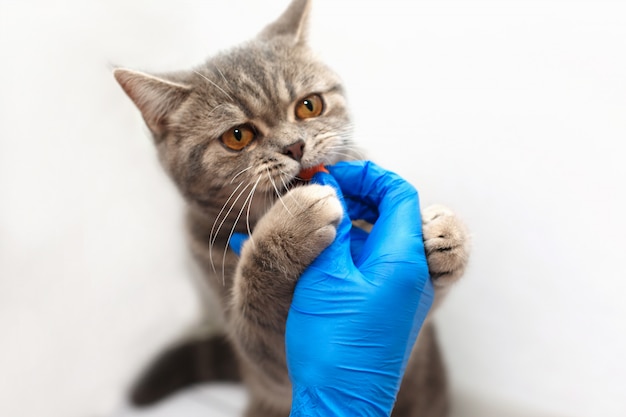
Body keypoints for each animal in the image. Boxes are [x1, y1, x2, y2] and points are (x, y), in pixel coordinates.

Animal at [114, 0, 468, 416]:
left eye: (309, 106)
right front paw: (291, 225)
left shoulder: (419, 334)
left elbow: (423, 302)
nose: (295, 146)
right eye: (238, 136)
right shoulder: (269, 365)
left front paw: (443, 233)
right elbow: (259, 305)